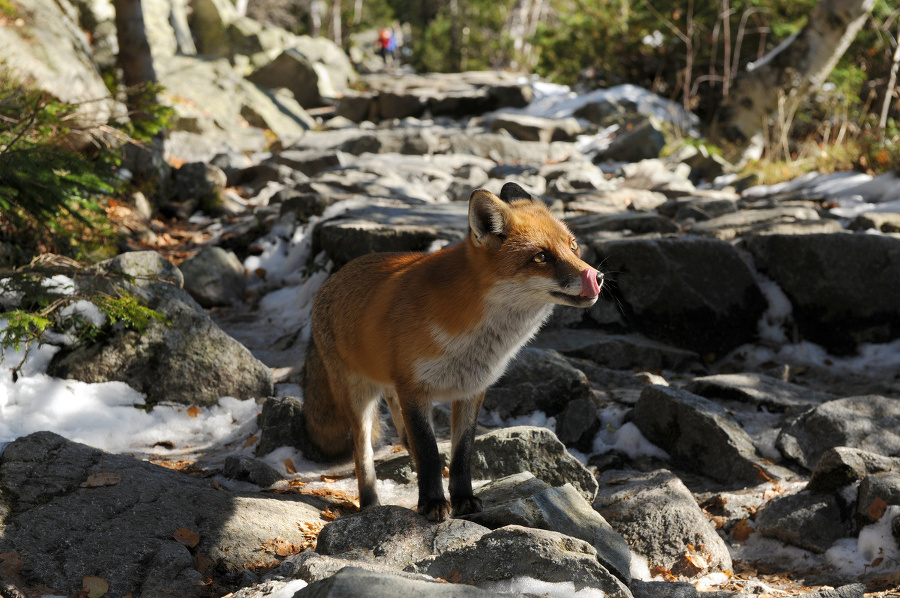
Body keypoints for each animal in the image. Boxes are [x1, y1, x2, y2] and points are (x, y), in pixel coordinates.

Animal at [302, 182, 604, 520]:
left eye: (573, 247)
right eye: (541, 257)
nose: (598, 277)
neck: (473, 337)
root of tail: (332, 278)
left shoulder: (471, 389)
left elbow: (462, 453)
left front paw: (463, 499)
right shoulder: (414, 389)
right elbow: (430, 453)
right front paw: (432, 503)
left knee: (404, 437)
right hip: (360, 398)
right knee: (362, 452)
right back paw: (370, 505)